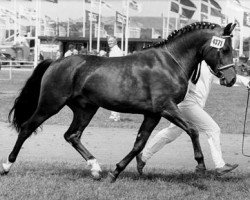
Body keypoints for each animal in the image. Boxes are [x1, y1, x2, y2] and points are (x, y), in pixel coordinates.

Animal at [2, 21, 236, 181]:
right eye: (224, 49)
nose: (231, 79)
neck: (169, 61)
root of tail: (55, 62)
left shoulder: (152, 114)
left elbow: (139, 144)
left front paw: (116, 171)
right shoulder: (166, 107)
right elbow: (193, 130)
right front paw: (200, 165)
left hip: (86, 109)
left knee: (72, 135)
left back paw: (96, 169)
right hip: (50, 104)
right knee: (27, 128)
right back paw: (6, 166)